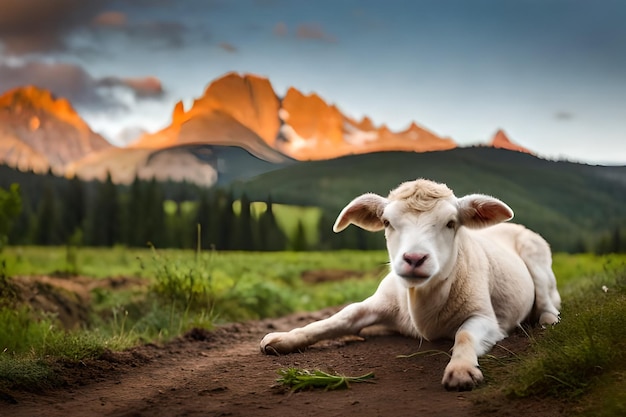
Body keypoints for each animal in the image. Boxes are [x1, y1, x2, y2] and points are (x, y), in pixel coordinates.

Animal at [258, 178, 560, 390]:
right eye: (387, 222)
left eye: (451, 223)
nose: (414, 258)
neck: (420, 300)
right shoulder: (378, 303)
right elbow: (340, 317)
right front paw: (285, 338)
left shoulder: (486, 317)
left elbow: (464, 335)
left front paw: (461, 370)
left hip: (538, 260)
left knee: (546, 299)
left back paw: (548, 321)